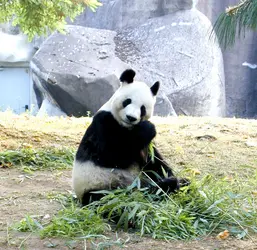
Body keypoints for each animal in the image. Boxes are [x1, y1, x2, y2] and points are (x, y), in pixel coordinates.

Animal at [71, 69, 186, 205]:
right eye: (127, 101)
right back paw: (162, 188)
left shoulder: (145, 147)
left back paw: (180, 183)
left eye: (143, 108)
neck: (126, 127)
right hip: (100, 187)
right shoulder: (103, 122)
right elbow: (114, 155)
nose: (131, 117)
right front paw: (147, 129)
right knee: (114, 200)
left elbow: (154, 161)